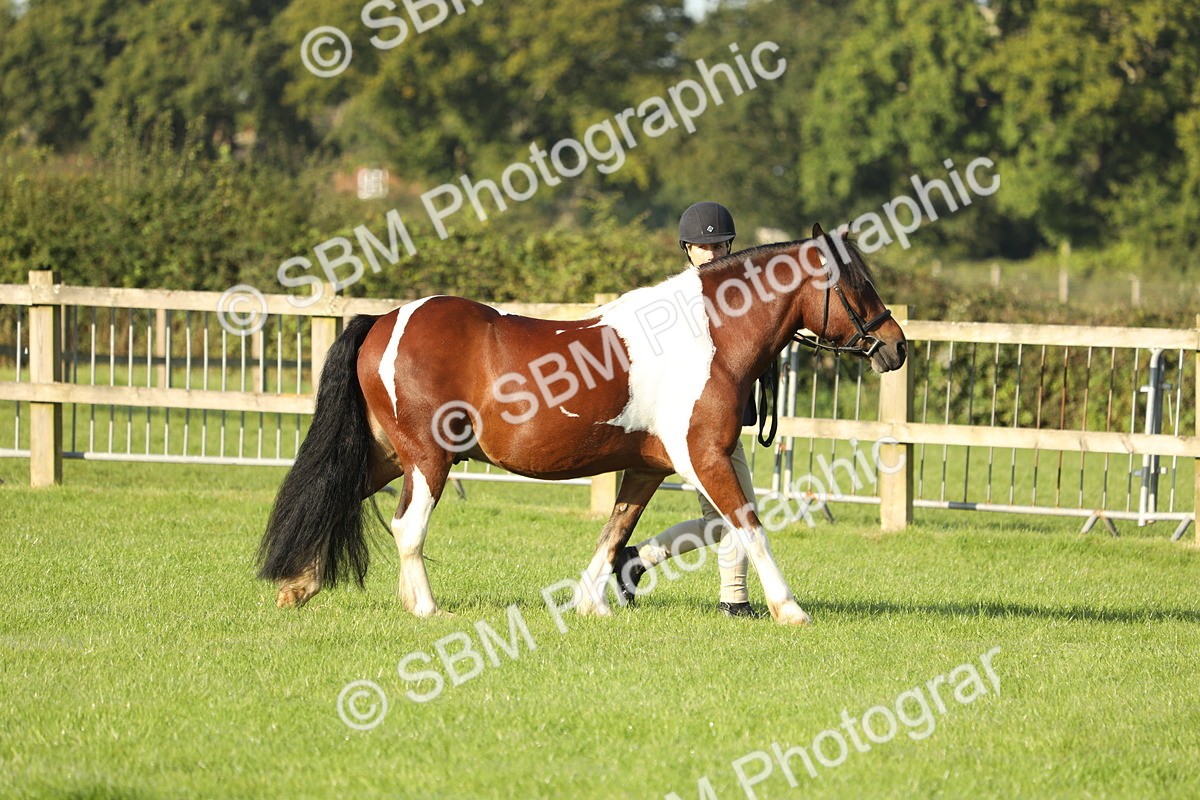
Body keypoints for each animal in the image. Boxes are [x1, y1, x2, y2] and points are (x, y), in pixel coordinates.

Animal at [256, 224, 907, 625]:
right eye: (857, 283)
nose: (897, 346)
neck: (707, 336)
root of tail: (386, 320)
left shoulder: (648, 468)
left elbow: (616, 533)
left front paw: (593, 601)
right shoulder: (703, 457)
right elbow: (750, 527)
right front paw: (790, 609)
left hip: (388, 455)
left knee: (334, 494)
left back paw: (298, 586)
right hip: (427, 459)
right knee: (406, 527)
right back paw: (425, 608)